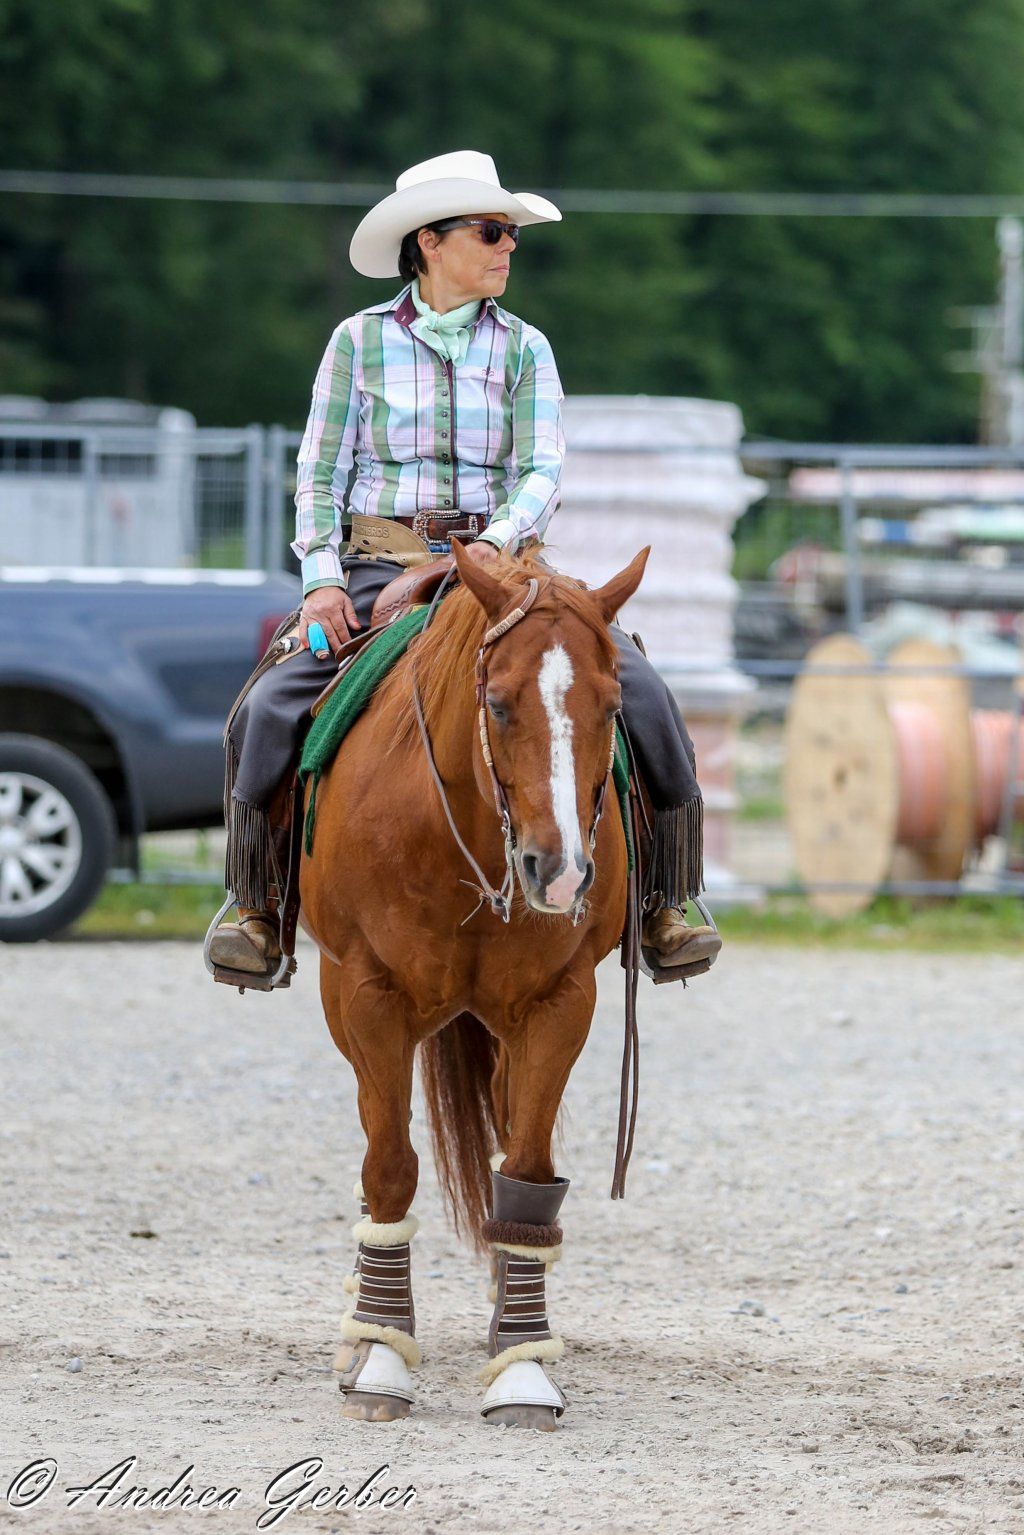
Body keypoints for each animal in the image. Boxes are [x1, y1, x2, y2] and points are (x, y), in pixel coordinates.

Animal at [299, 538, 649, 1430]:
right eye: (497, 702)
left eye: (611, 705)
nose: (560, 871)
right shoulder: (368, 995)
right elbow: (389, 1167)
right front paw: (382, 1353)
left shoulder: (560, 1003)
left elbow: (524, 1170)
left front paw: (521, 1362)